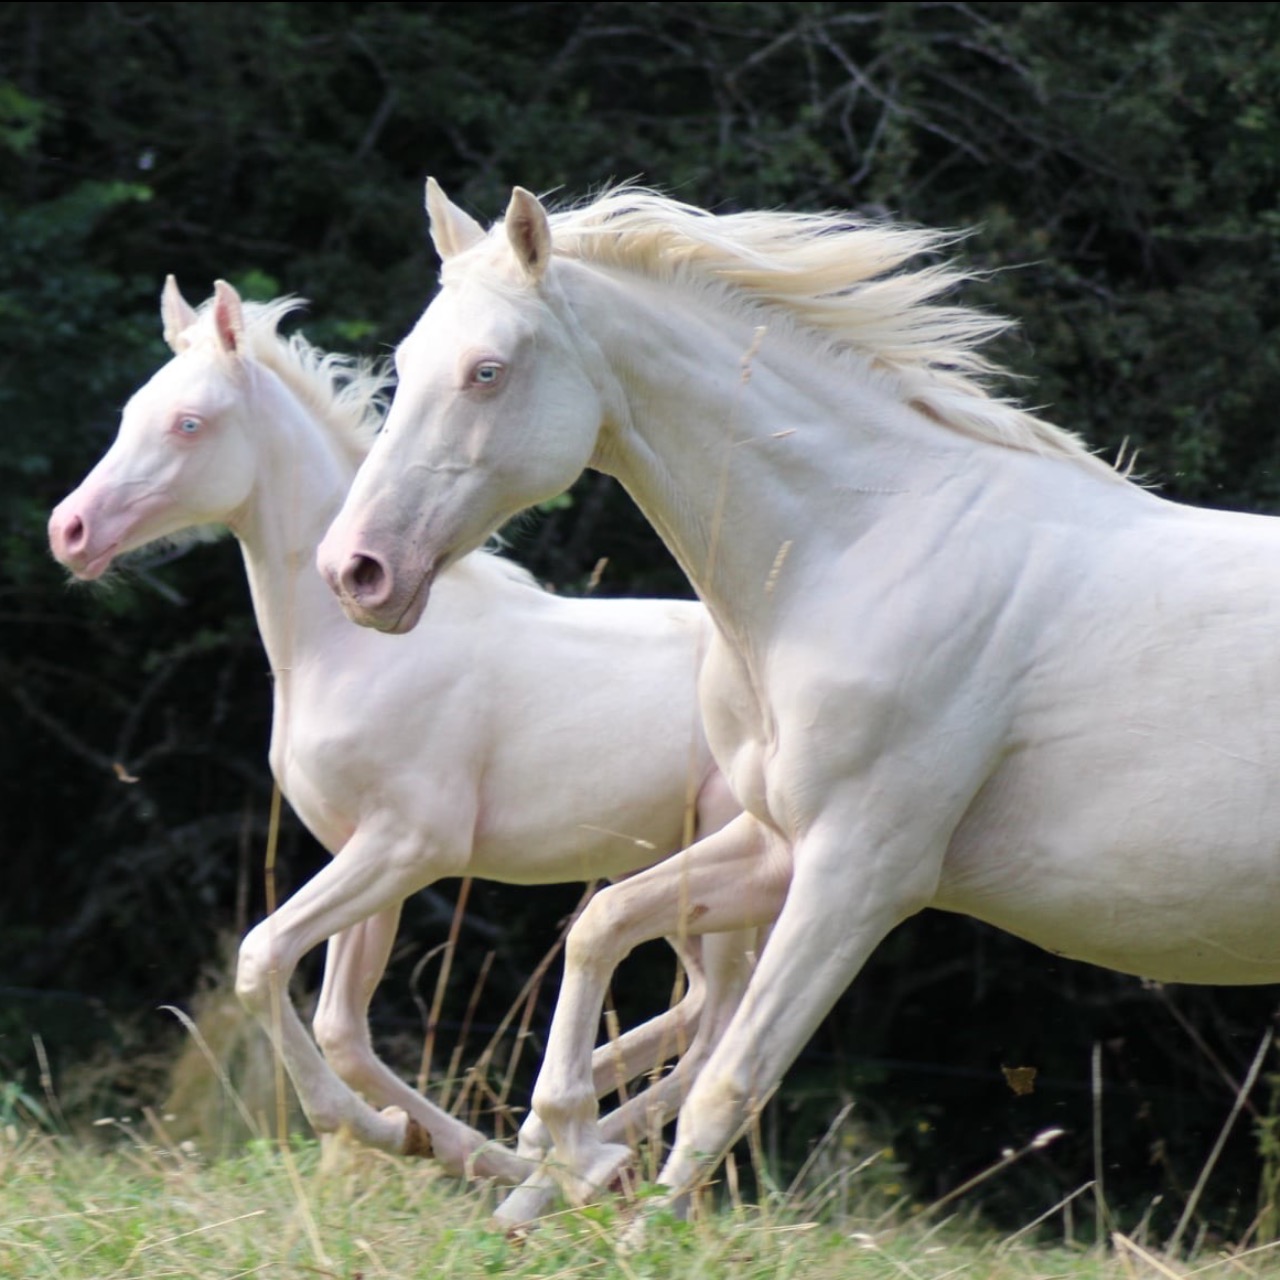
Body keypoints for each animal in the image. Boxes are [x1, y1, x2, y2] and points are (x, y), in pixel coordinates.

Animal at [49, 277, 762, 1187]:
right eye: (132, 411)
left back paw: (572, 1158)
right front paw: (414, 1136)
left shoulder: (413, 846)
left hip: (723, 858)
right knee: (701, 1011)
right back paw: (549, 1143)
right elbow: (339, 1026)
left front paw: (400, 1133)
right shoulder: (366, 853)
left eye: (188, 424)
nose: (70, 531)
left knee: (718, 1025)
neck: (348, 648)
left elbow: (261, 960)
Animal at [320, 180, 1280, 1218]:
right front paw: (565, 1150)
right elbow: (603, 929)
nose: (355, 571)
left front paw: (628, 1212)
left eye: (487, 371)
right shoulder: (776, 844)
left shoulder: (862, 872)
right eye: (407, 361)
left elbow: (728, 1083)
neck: (863, 547)